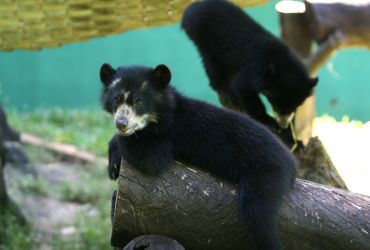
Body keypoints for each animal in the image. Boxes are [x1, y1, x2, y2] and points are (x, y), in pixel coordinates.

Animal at [99, 63, 296, 250]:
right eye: (116, 100)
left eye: (139, 102)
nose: (121, 124)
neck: (160, 115)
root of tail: (291, 163)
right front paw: (113, 167)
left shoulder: (166, 136)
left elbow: (150, 160)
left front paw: (116, 150)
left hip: (267, 174)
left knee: (259, 217)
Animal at [182, 0, 318, 132]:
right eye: (276, 104)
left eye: (294, 106)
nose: (283, 124)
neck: (282, 61)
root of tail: (190, 10)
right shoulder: (256, 69)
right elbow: (243, 89)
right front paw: (270, 122)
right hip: (204, 39)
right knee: (212, 65)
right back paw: (225, 90)